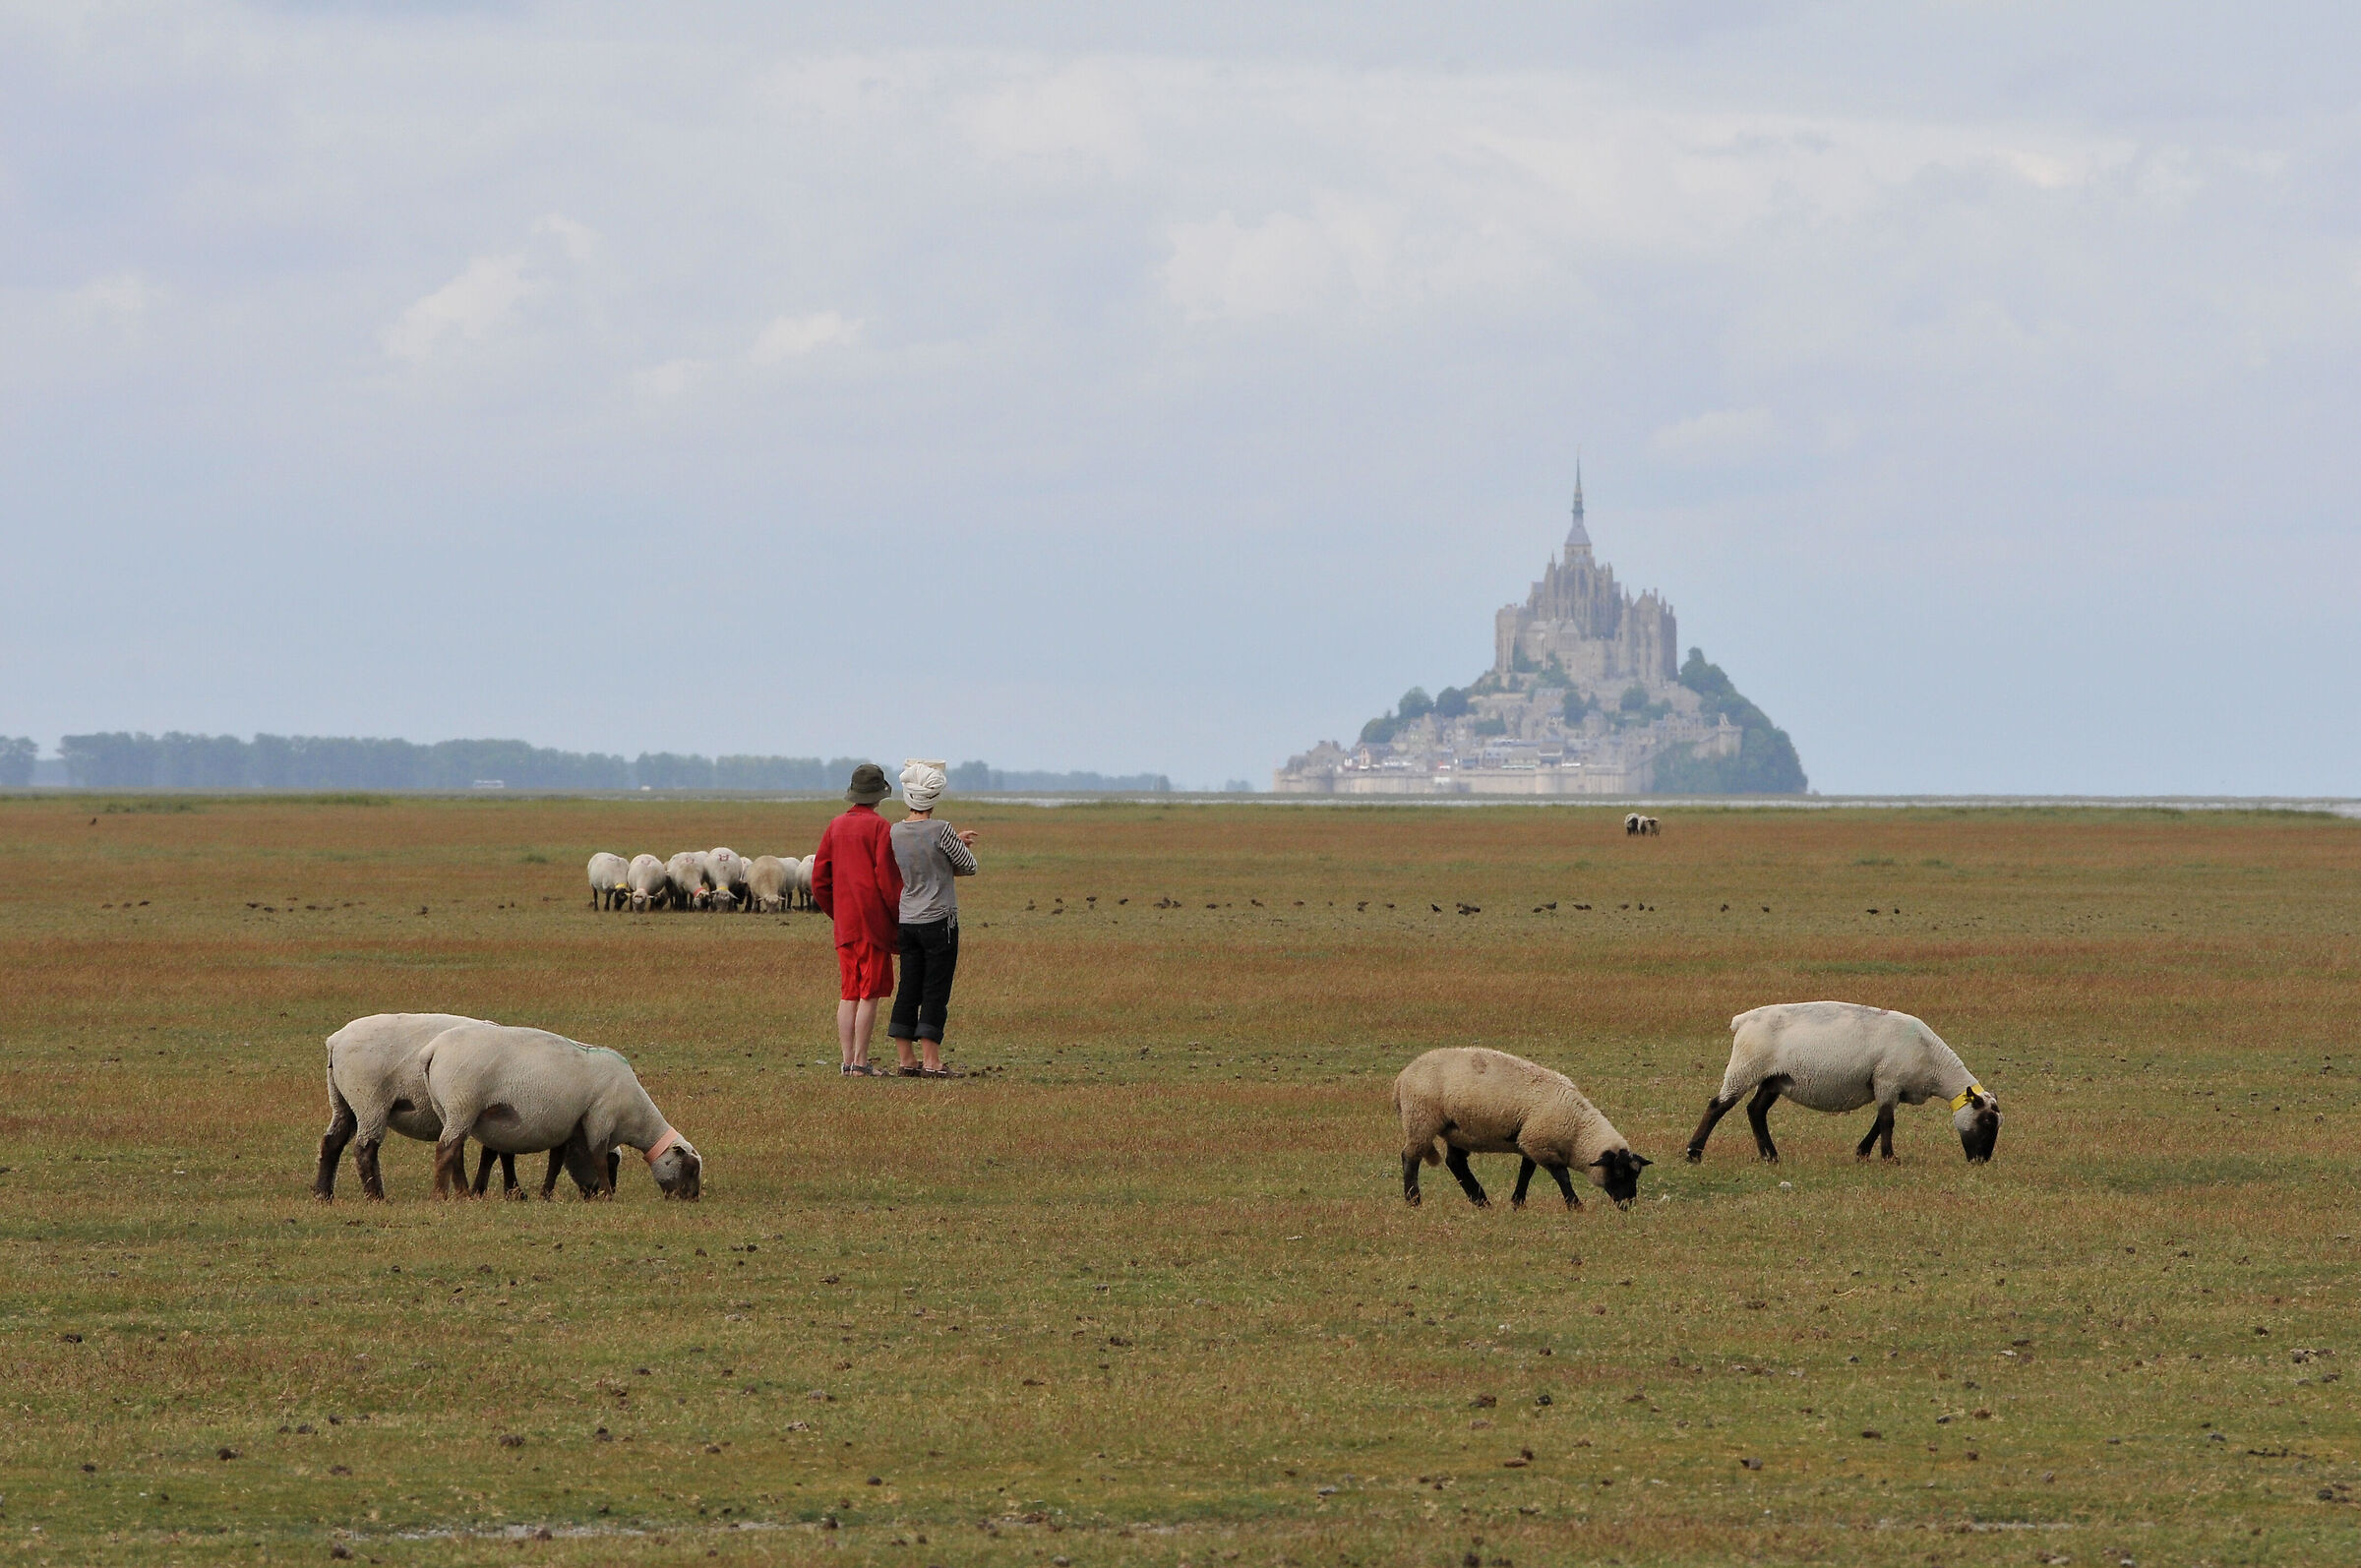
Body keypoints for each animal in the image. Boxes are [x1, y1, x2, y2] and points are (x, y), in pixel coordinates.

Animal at [418, 1022, 701, 1200]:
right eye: (691, 1168)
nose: (693, 1198)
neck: (635, 1117)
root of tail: (432, 1050)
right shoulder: (600, 1117)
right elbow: (598, 1156)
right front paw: (608, 1195)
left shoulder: (569, 1124)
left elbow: (555, 1162)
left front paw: (547, 1194)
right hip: (463, 1105)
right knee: (446, 1149)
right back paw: (440, 1195)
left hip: (446, 1108)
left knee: (456, 1150)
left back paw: (463, 1193)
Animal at [1393, 1046, 1651, 1210]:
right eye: (1619, 1173)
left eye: (1636, 1174)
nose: (1628, 1205)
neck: (1577, 1131)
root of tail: (1403, 1076)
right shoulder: (1539, 1142)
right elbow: (1562, 1175)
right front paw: (1575, 1204)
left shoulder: (1530, 1142)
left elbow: (1526, 1171)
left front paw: (1517, 1202)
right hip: (1421, 1119)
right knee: (1410, 1156)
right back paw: (1414, 1200)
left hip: (1458, 1130)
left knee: (1455, 1163)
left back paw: (1481, 1201)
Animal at [1685, 1001, 2003, 1166]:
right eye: (1987, 1121)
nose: (1982, 1160)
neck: (1934, 1065)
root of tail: (1743, 1019)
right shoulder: (1887, 1080)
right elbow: (1887, 1122)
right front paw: (1889, 1158)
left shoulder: (1890, 1088)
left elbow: (1879, 1122)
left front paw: (1863, 1153)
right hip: (1746, 1066)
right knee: (1717, 1106)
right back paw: (1693, 1153)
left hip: (1775, 1077)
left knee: (1756, 1111)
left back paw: (1770, 1156)